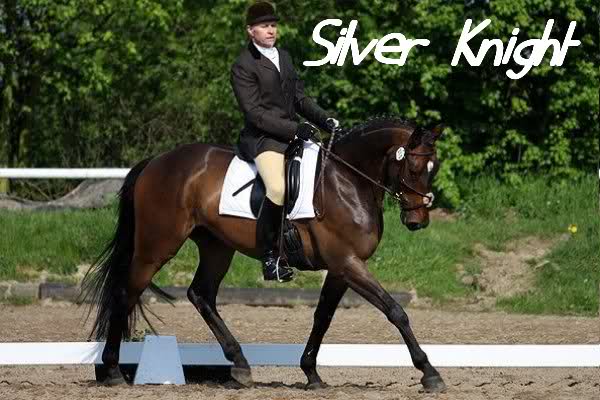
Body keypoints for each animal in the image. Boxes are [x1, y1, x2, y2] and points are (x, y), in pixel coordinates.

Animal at [81, 116, 446, 392]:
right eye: (414, 167)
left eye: (434, 168)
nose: (418, 220)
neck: (348, 181)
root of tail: (155, 162)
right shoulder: (348, 263)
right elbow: (395, 310)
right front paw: (429, 372)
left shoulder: (341, 268)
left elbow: (323, 317)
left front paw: (311, 372)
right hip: (157, 246)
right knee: (126, 292)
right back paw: (111, 371)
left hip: (217, 247)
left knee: (200, 294)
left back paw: (241, 366)